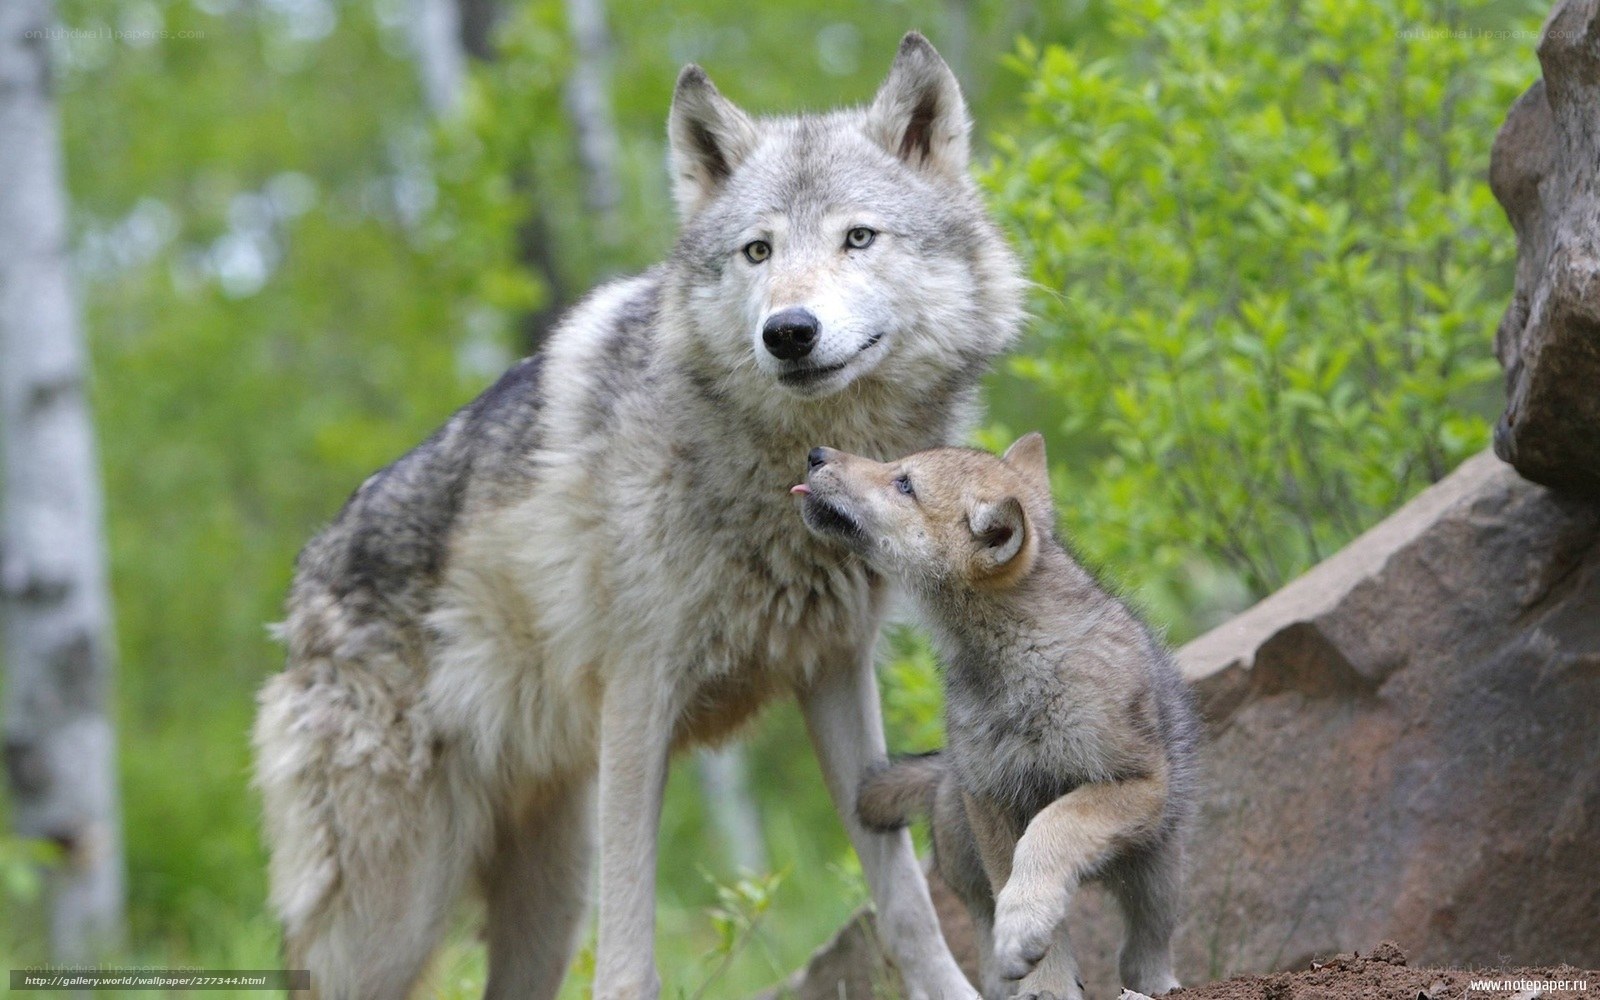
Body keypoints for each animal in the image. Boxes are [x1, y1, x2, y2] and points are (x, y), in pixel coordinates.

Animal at [251, 32, 1024, 1000]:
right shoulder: (638, 699)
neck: (782, 472)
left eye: (858, 237)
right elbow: (628, 957)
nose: (789, 332)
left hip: (546, 893)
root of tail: (302, 589)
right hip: (394, 915)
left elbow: (906, 908)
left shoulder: (836, 673)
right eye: (757, 251)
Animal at [792, 434, 1199, 1000]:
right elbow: (1016, 883)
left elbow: (1054, 826)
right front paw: (1043, 981)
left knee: (1144, 950)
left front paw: (1025, 929)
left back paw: (1156, 986)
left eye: (904, 483)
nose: (816, 453)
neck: (1017, 661)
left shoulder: (1136, 783)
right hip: (967, 856)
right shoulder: (991, 799)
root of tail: (943, 773)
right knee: (986, 945)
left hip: (1158, 871)